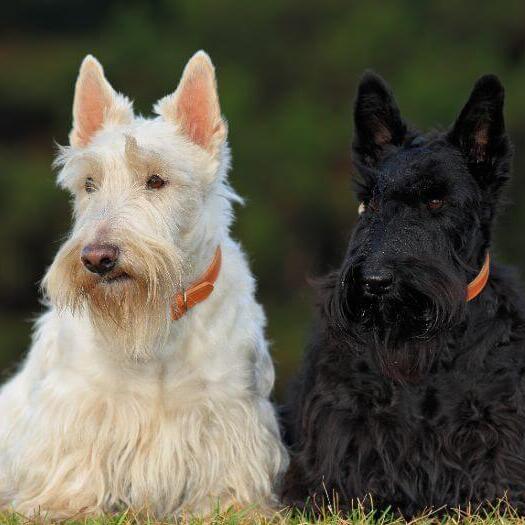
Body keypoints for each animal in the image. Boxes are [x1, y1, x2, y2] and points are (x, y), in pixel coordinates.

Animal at [0, 51, 286, 516]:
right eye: (89, 184)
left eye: (156, 180)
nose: (97, 258)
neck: (156, 325)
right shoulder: (78, 403)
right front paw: (64, 504)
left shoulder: (227, 408)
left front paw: (226, 506)